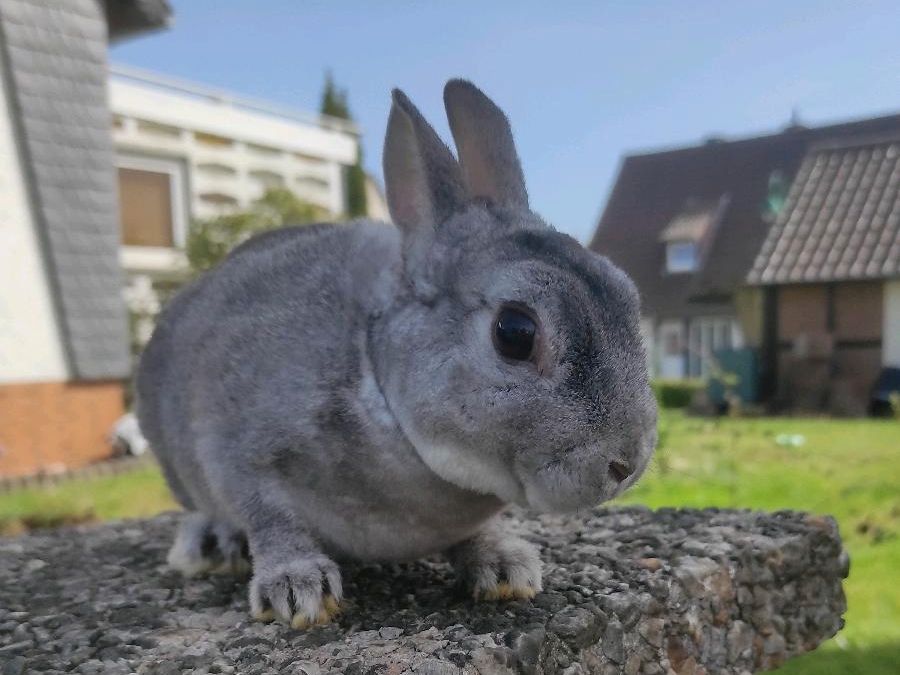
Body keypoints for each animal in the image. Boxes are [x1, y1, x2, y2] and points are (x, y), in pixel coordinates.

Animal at [135, 79, 652, 628]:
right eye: (515, 332)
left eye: (628, 297)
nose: (626, 464)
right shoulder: (239, 453)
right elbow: (271, 520)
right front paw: (298, 592)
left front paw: (505, 567)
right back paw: (209, 547)